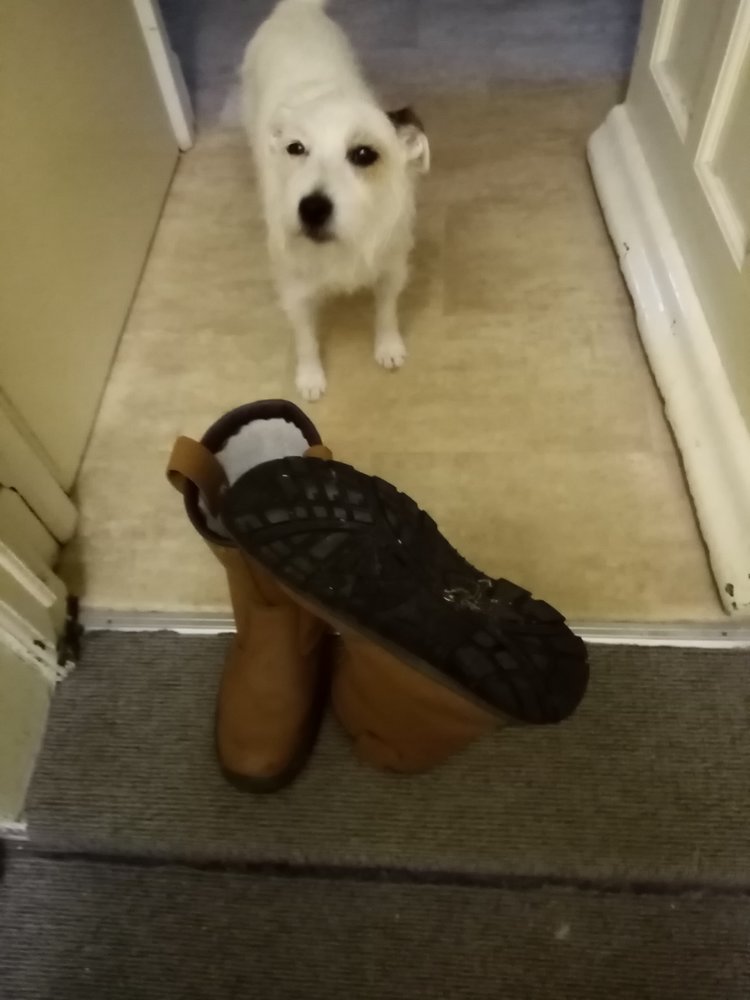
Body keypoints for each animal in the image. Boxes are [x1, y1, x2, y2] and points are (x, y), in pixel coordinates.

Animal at [242, 0, 430, 401]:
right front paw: (310, 376)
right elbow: (305, 339)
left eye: (364, 154)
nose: (311, 208)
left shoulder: (392, 268)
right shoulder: (295, 291)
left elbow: (386, 310)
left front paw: (388, 346)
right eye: (295, 148)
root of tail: (293, 13)